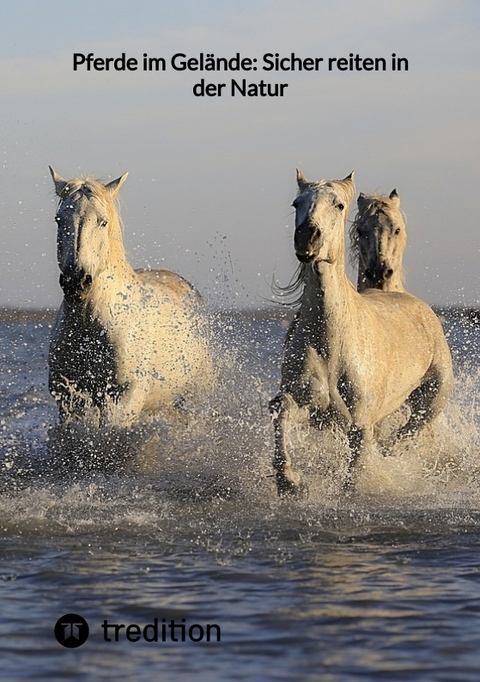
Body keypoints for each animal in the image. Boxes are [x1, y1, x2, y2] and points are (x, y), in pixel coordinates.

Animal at [49, 166, 214, 424]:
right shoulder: (68, 399)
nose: (76, 282)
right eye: (59, 220)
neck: (90, 325)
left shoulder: (123, 399)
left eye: (103, 222)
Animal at [270, 170, 454, 494]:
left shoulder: (360, 423)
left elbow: (355, 473)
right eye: (296, 203)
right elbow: (281, 413)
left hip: (432, 398)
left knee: (410, 431)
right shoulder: (311, 407)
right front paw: (289, 480)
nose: (307, 238)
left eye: (339, 205)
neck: (331, 340)